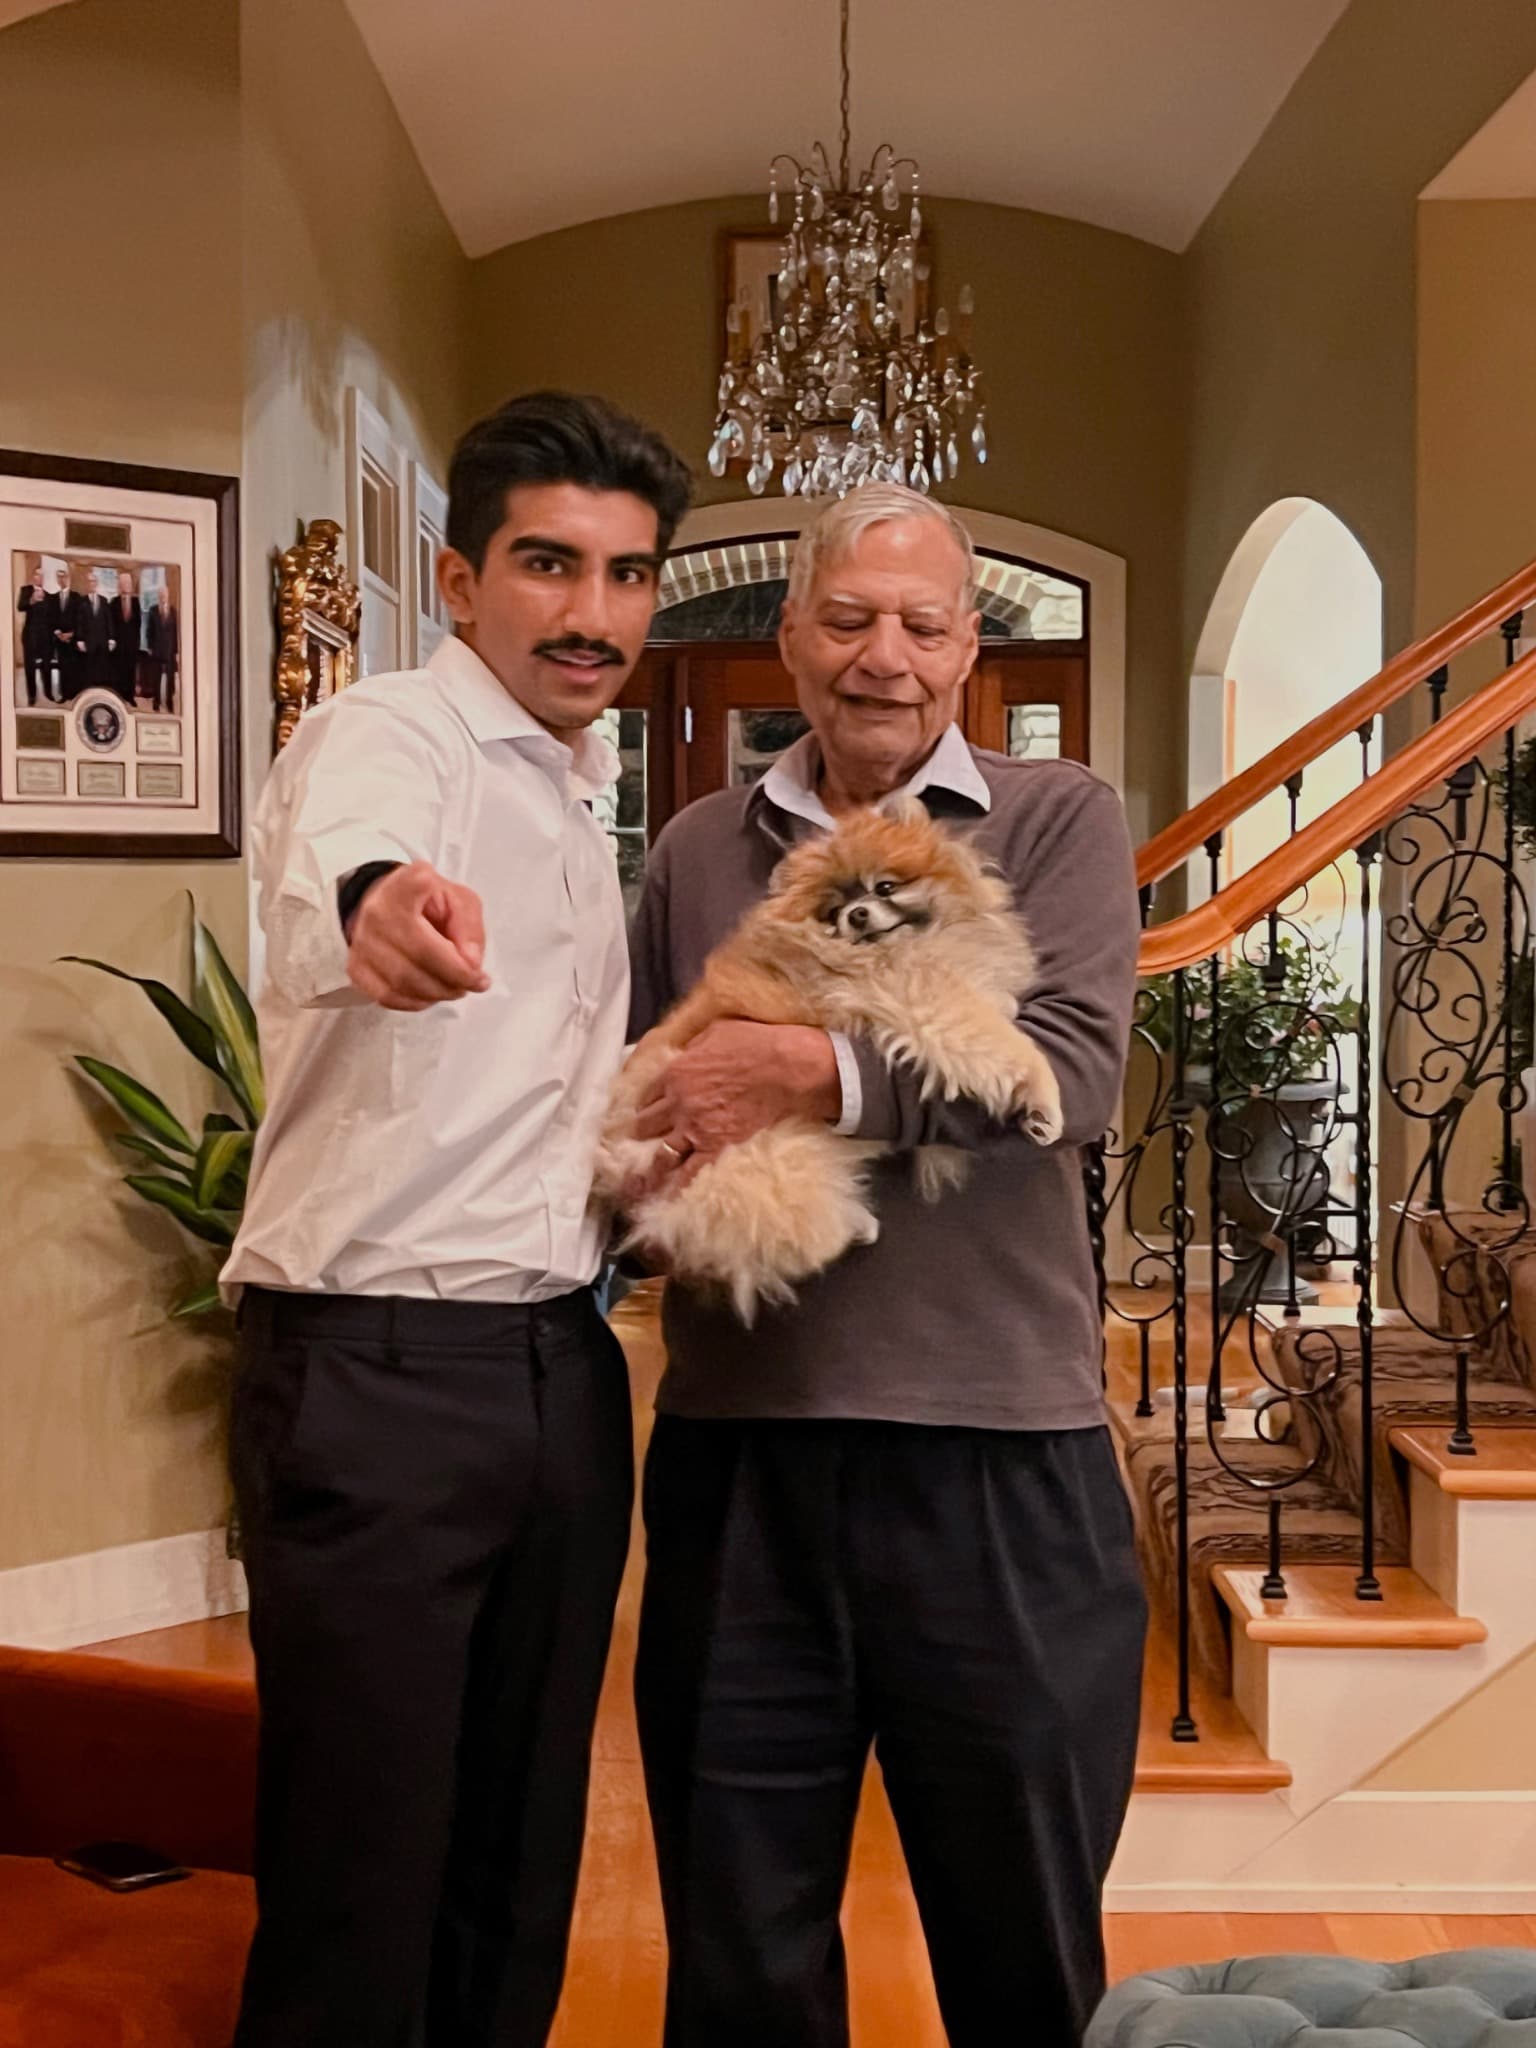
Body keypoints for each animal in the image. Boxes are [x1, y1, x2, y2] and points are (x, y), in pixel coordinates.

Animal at [593, 799, 1063, 1321]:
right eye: (834, 911)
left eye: (885, 887)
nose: (857, 914)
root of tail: (613, 1169)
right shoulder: (922, 997)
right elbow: (998, 1041)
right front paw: (1043, 1102)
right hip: (769, 1166)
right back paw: (858, 1224)